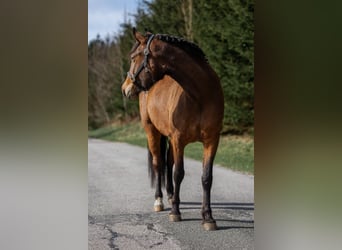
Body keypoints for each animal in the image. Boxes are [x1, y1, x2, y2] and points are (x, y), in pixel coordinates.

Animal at [121, 27, 224, 230]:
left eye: (134, 57)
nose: (125, 88)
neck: (200, 96)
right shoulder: (179, 140)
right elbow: (179, 173)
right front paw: (175, 212)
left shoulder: (211, 140)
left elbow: (206, 177)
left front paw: (208, 217)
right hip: (152, 131)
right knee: (158, 163)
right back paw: (159, 201)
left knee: (168, 163)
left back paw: (169, 196)